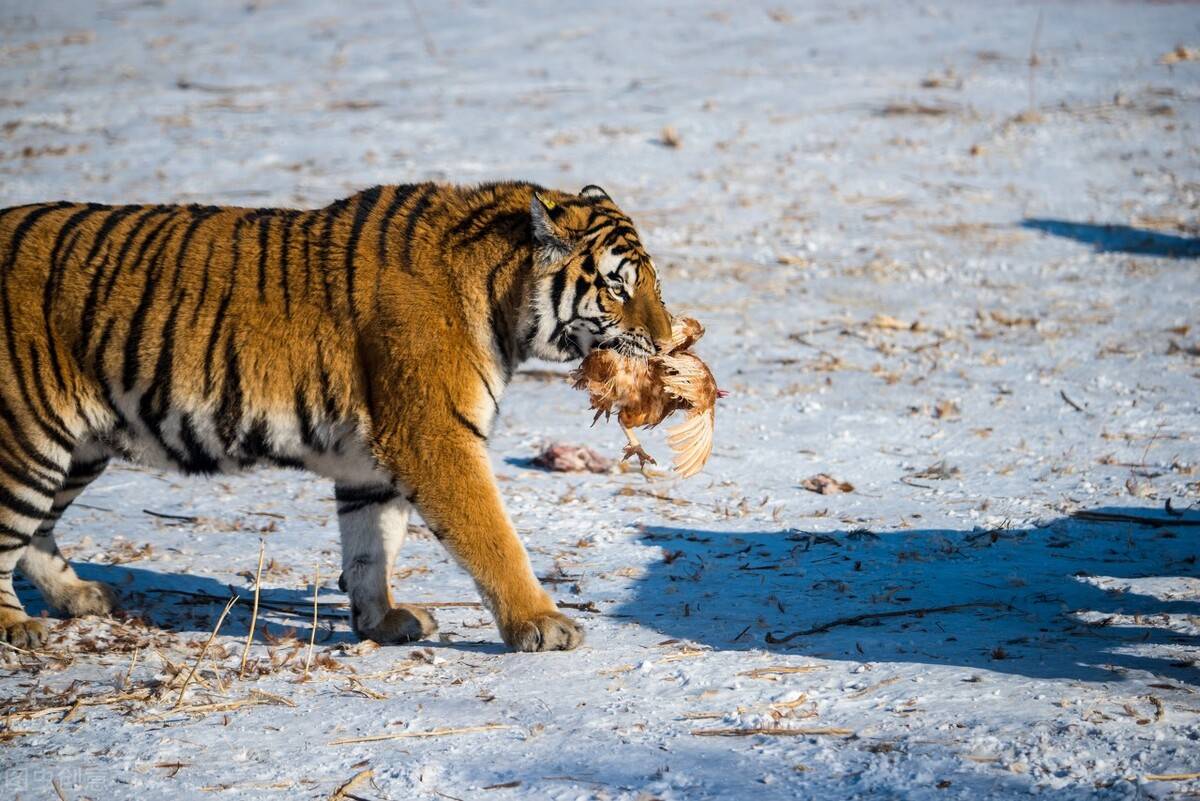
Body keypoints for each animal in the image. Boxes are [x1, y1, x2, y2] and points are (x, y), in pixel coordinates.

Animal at [0, 181, 676, 652]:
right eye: (617, 287)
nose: (669, 341)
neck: (499, 298)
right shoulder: (435, 436)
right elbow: (492, 537)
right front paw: (540, 623)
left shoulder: (370, 463)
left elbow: (371, 549)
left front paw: (383, 621)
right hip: (26, 441)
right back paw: (18, 628)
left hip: (79, 444)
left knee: (37, 533)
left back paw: (79, 596)